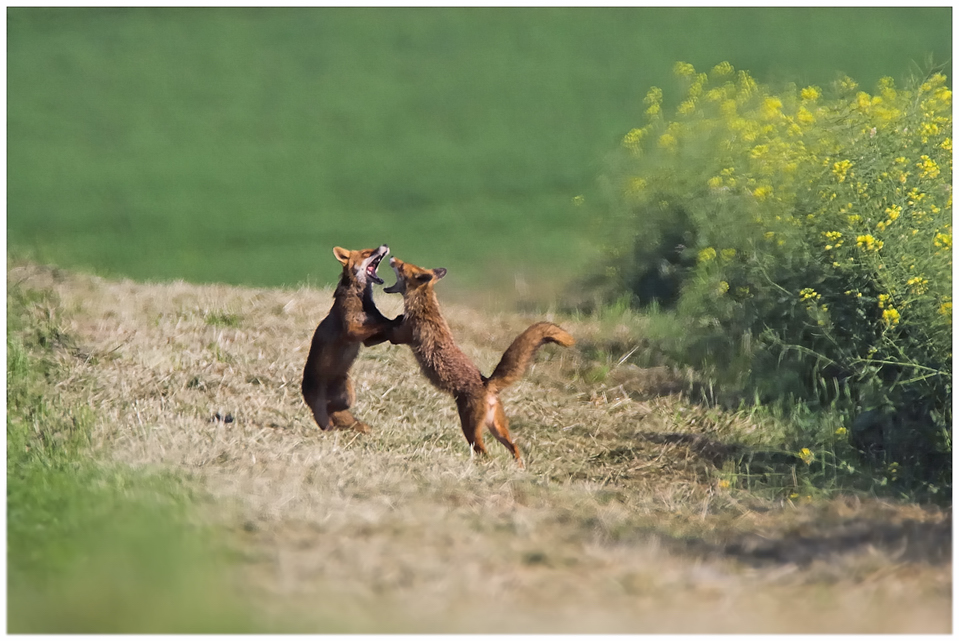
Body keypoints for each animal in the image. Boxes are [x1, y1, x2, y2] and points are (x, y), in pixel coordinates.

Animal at [304, 242, 402, 432]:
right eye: (366, 253)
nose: (385, 244)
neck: (360, 299)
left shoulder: (367, 339)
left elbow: (381, 326)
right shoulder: (351, 329)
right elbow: (380, 324)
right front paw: (396, 320)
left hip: (348, 396)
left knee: (337, 410)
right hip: (322, 408)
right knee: (327, 417)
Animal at [384, 254, 576, 464]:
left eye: (401, 265)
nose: (392, 256)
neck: (424, 306)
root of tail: (487, 383)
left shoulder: (401, 335)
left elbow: (391, 327)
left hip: (470, 430)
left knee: (485, 452)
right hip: (496, 428)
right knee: (515, 447)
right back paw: (518, 468)